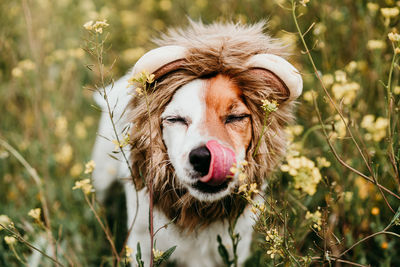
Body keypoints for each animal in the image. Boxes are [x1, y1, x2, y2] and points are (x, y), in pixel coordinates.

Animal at [91, 21, 304, 267]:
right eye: (175, 119)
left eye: (236, 117)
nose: (204, 157)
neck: (198, 212)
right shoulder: (142, 244)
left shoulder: (234, 250)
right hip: (102, 177)